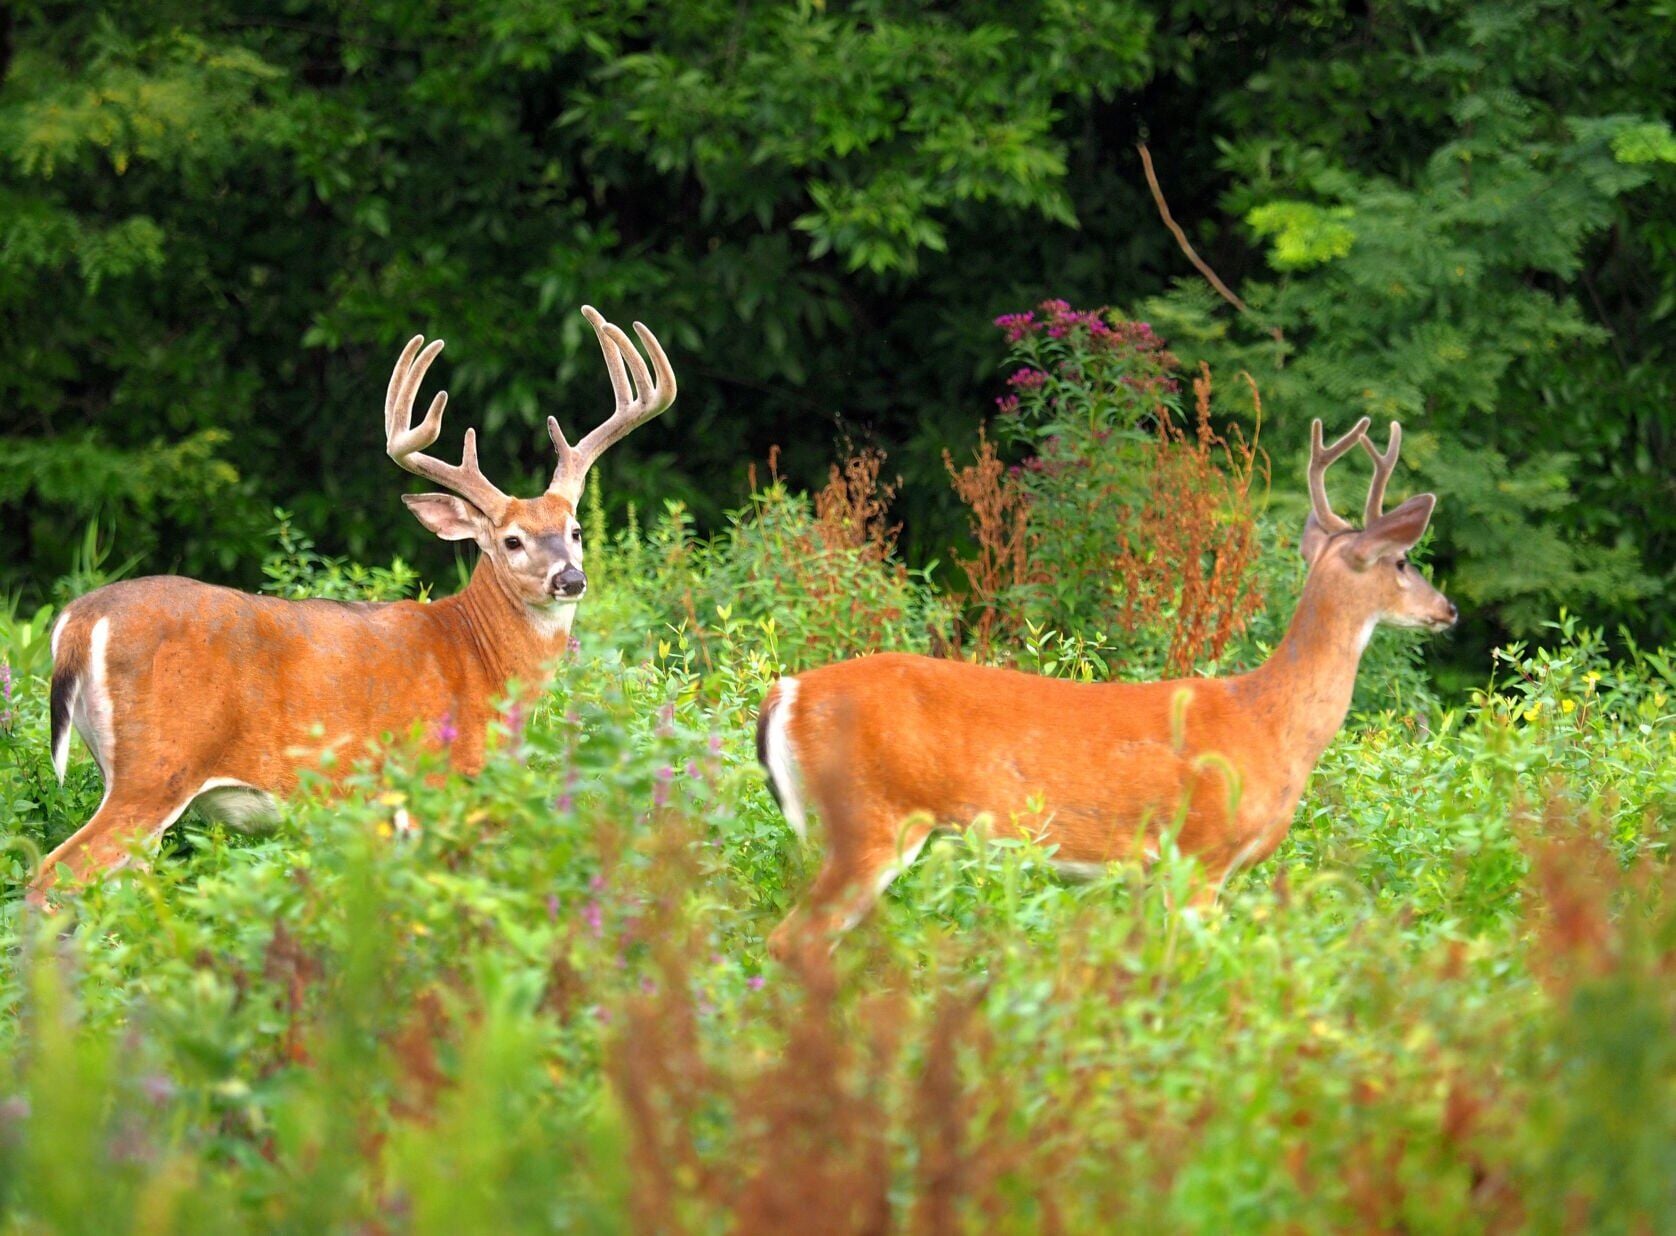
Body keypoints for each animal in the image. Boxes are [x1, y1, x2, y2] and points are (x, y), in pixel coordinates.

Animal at [33, 305, 675, 902]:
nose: (570, 579)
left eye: (575, 531)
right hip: (159, 764)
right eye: (512, 540)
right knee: (53, 873)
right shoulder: (434, 777)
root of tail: (79, 621)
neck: (480, 657)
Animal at [756, 417, 1456, 957]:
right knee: (792, 939)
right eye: (1402, 562)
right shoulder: (1200, 852)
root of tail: (787, 692)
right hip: (871, 816)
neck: (1269, 723)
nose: (1446, 609)